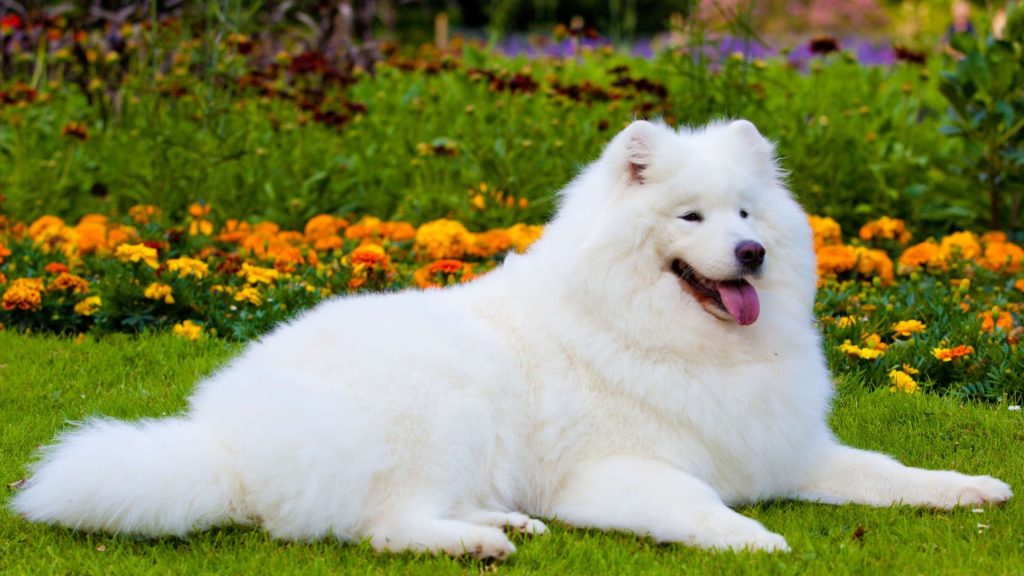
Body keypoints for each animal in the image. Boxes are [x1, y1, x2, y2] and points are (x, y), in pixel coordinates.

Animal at [12, 119, 1011, 557]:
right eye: (690, 217)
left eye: (745, 213)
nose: (752, 254)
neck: (663, 336)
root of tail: (225, 443)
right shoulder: (616, 472)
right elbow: (694, 505)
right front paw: (752, 540)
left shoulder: (787, 450)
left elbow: (889, 473)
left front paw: (969, 487)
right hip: (441, 406)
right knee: (383, 525)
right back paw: (479, 543)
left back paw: (504, 520)